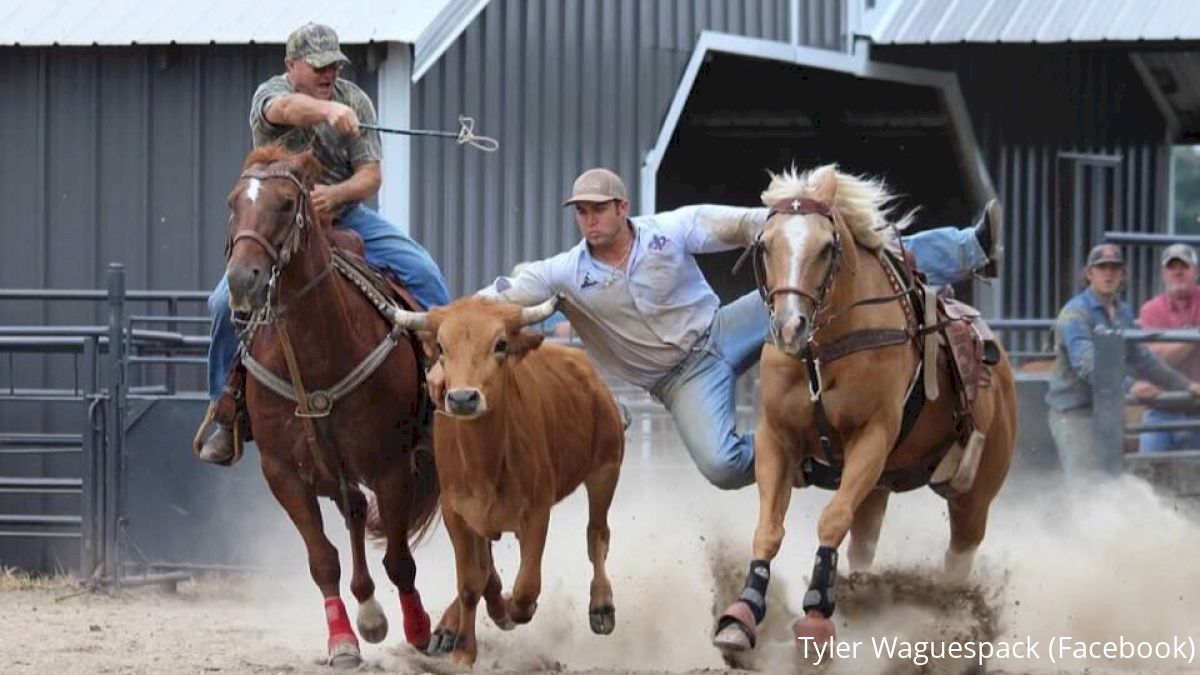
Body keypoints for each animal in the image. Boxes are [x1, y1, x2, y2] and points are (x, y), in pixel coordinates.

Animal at [223, 144, 439, 662]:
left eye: (286, 204)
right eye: (233, 203)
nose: (242, 280)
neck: (316, 350)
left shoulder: (390, 466)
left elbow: (399, 559)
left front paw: (419, 627)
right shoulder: (282, 471)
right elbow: (322, 558)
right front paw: (343, 639)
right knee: (354, 511)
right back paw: (367, 610)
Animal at [710, 166, 1012, 653]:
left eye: (825, 248)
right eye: (766, 244)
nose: (790, 327)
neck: (820, 354)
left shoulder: (872, 437)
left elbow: (832, 519)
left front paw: (816, 614)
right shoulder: (776, 439)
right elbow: (769, 529)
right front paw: (742, 613)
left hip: (974, 495)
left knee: (957, 559)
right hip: (879, 488)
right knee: (864, 547)